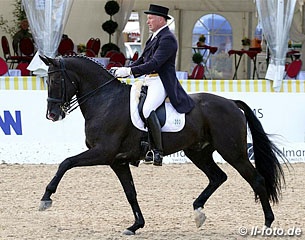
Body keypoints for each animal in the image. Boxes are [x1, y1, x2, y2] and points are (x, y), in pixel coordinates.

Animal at [39, 55, 286, 234]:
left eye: (56, 81)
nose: (52, 115)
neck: (105, 100)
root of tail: (232, 103)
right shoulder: (117, 161)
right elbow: (130, 193)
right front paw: (135, 225)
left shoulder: (102, 153)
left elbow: (66, 163)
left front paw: (46, 198)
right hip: (198, 152)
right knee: (218, 177)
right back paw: (198, 212)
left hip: (233, 152)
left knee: (256, 179)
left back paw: (267, 223)